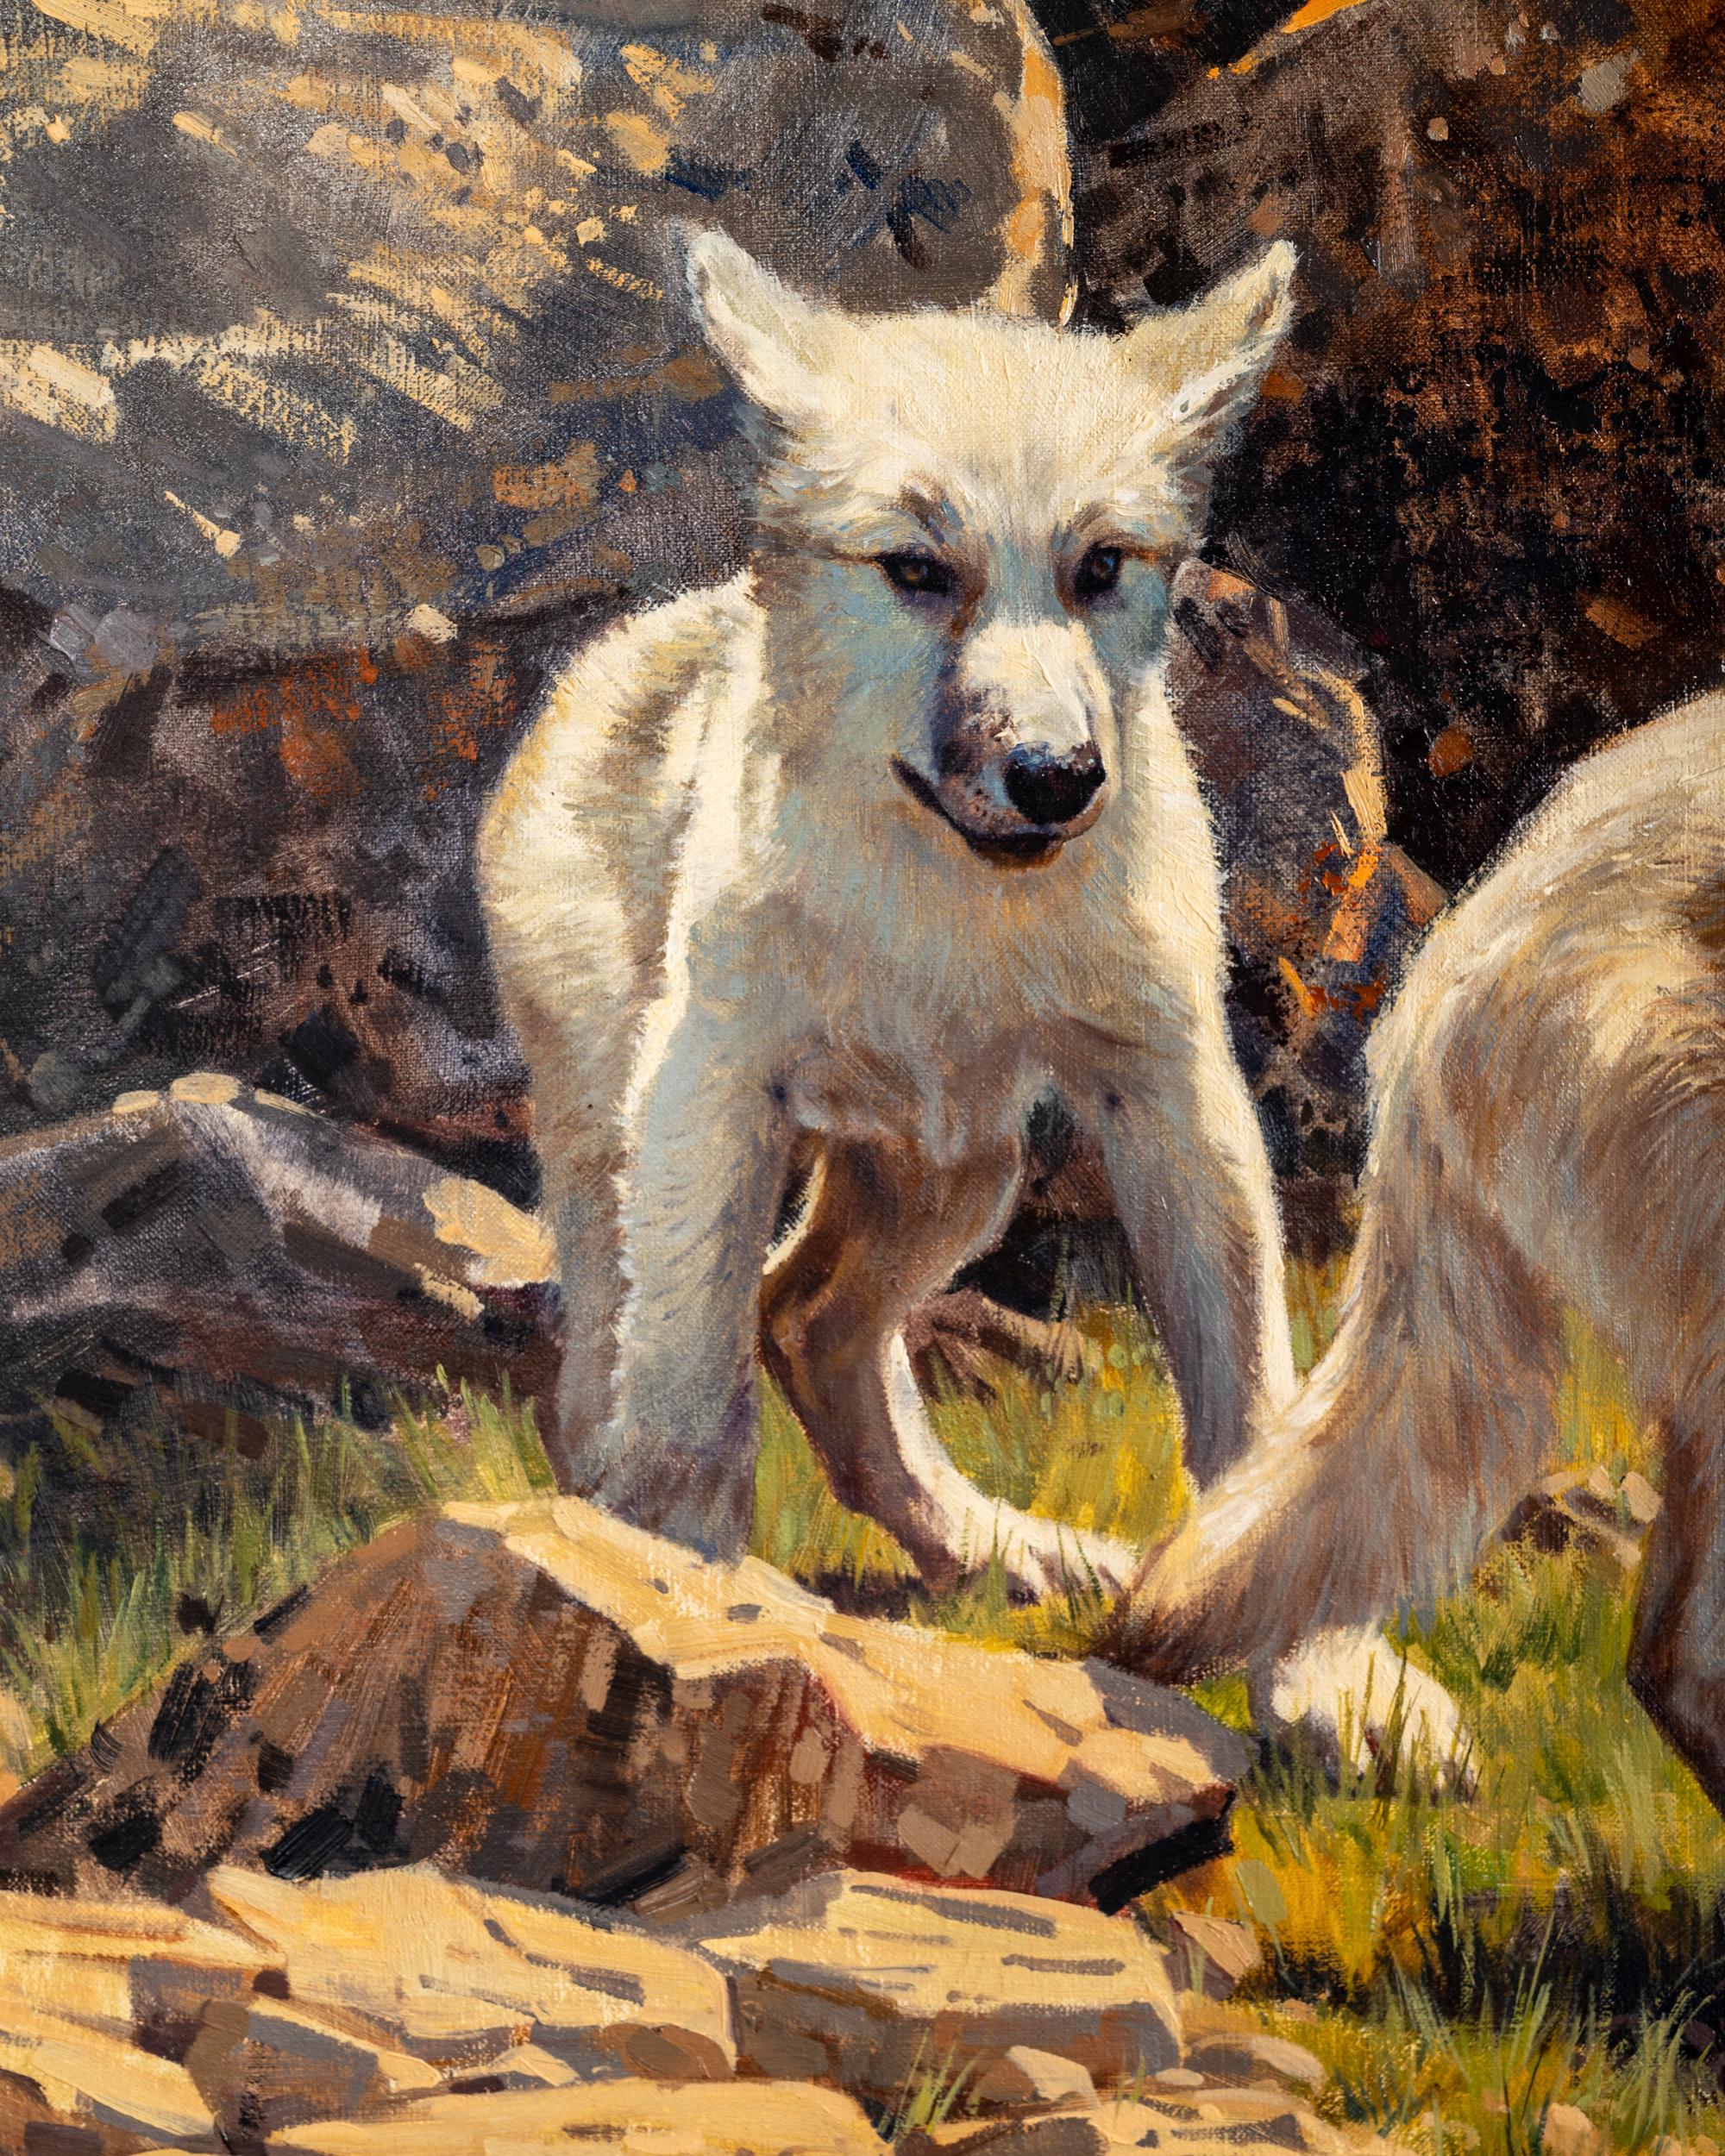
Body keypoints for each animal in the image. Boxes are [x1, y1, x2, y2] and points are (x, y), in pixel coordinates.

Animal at [478, 229, 1300, 1606]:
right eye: (917, 572)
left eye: (1100, 569)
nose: (1056, 776)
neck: (947, 920)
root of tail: (632, 639)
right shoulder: (712, 1091)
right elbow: (687, 1390)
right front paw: (686, 1581)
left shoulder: (1171, 1093)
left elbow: (1250, 1395)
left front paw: (1323, 1653)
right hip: (625, 1135)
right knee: (618, 1362)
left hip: (957, 1165)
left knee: (805, 1323)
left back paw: (1016, 1555)